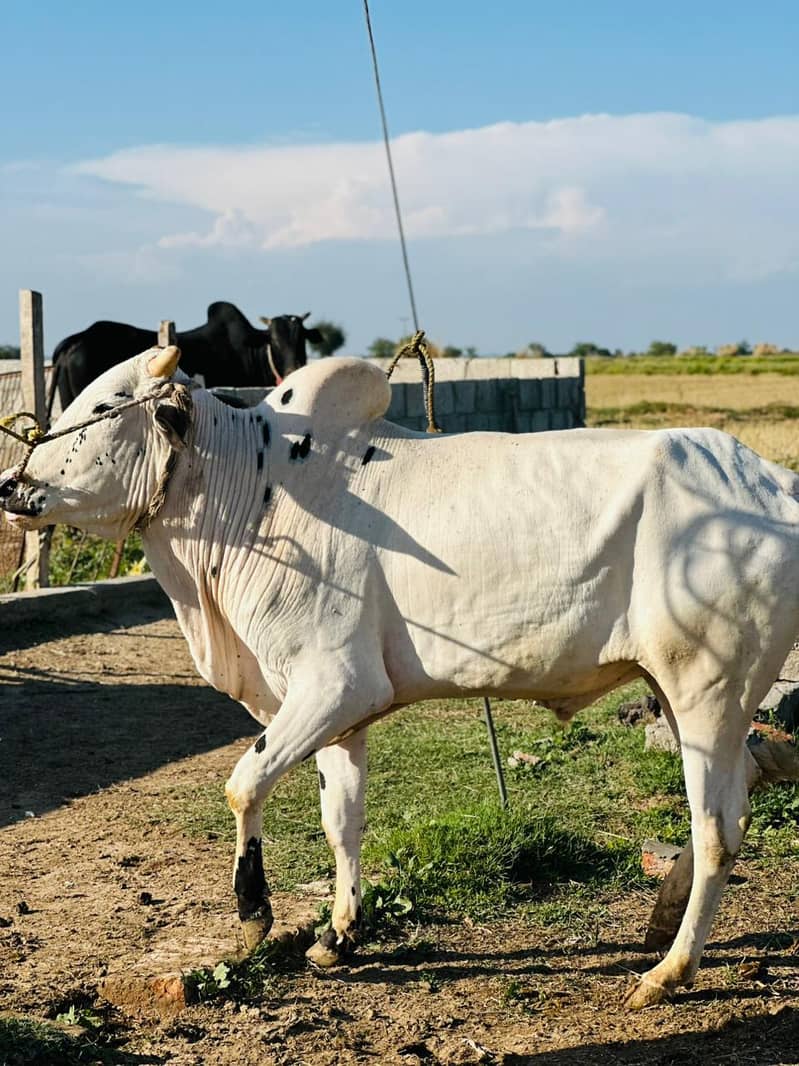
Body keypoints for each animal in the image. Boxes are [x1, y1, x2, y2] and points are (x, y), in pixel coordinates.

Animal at [2, 345, 799, 1009]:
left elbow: (242, 784)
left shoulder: (335, 687)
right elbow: (341, 819)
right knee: (746, 787)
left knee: (717, 830)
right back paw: (661, 925)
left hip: (704, 690)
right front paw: (339, 933)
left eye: (106, 404)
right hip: (685, 694)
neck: (256, 485)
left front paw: (254, 912)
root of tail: (774, 483)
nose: (14, 483)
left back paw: (669, 972)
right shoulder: (336, 714)